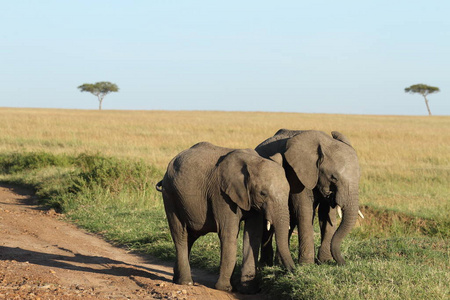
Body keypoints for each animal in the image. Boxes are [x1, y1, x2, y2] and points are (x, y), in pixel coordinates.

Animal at [156, 142, 296, 292]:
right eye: (263, 193)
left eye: (288, 192)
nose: (294, 272)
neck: (252, 160)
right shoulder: (221, 194)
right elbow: (229, 233)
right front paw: (224, 288)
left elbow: (253, 235)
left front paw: (248, 290)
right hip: (170, 196)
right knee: (180, 234)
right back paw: (186, 282)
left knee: (191, 236)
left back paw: (177, 279)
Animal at [255, 129, 364, 264]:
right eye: (333, 177)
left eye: (359, 176)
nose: (344, 263)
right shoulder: (296, 174)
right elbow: (304, 211)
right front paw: (306, 264)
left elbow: (327, 214)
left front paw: (325, 261)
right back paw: (266, 264)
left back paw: (279, 262)